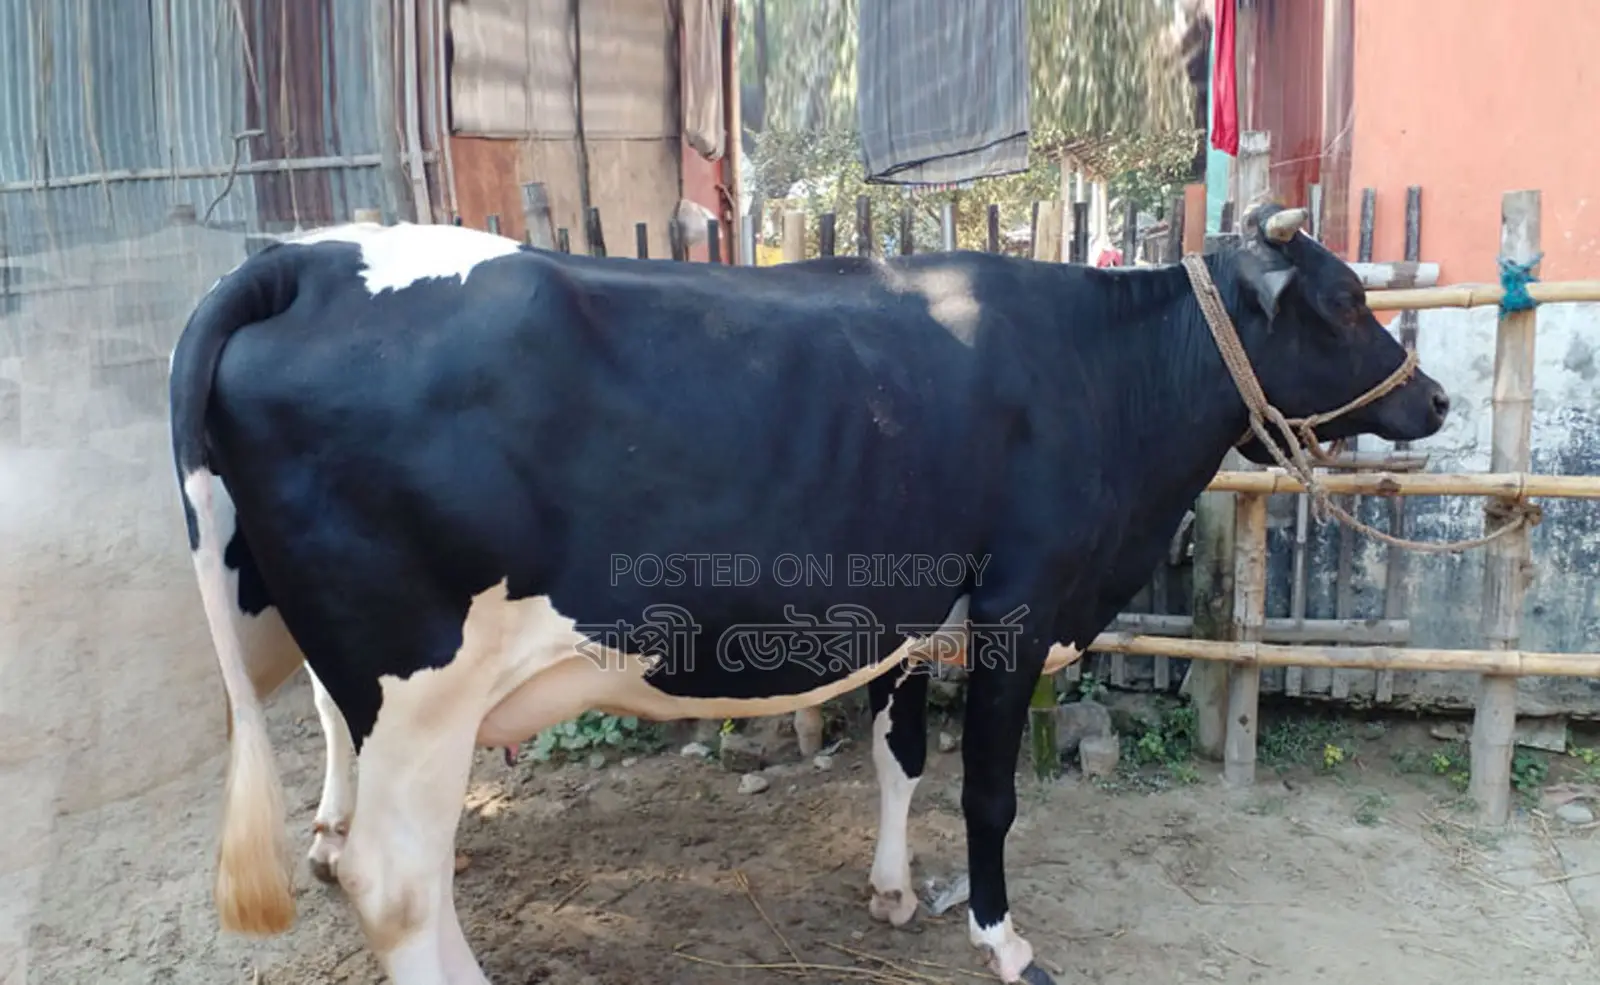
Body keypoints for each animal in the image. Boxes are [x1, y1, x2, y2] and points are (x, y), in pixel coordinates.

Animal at [167, 203, 1448, 985]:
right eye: (1344, 300)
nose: (1432, 399)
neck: (1099, 367)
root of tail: (304, 259)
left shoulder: (908, 610)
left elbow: (900, 758)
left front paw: (891, 891)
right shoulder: (1020, 602)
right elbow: (988, 795)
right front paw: (1001, 937)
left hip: (336, 658)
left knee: (375, 831)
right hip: (420, 686)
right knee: (395, 877)